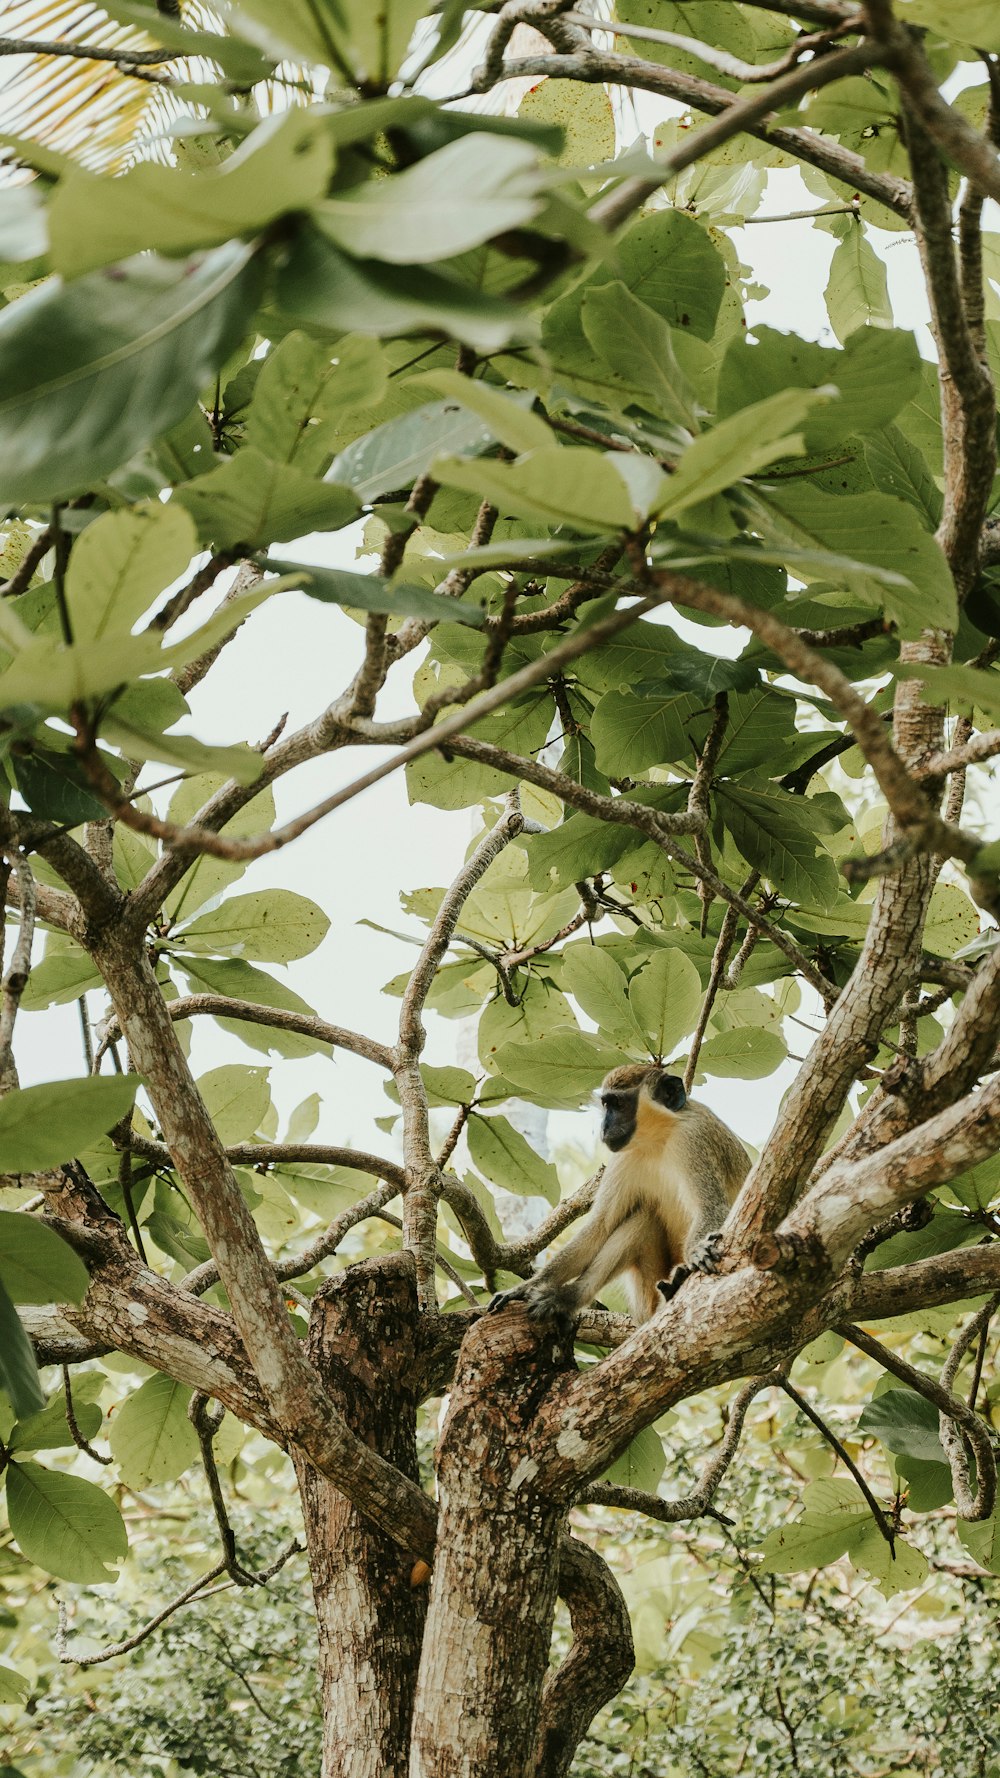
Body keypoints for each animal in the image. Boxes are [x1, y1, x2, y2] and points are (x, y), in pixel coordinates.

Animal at [483, 1059, 747, 1329]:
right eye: (606, 1105)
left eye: (619, 1104)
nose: (604, 1127)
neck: (658, 1138)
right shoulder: (623, 1157)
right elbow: (600, 1227)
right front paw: (527, 1287)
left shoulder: (693, 1138)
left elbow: (710, 1207)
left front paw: (696, 1251)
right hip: (646, 1292)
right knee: (642, 1218)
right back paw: (568, 1297)